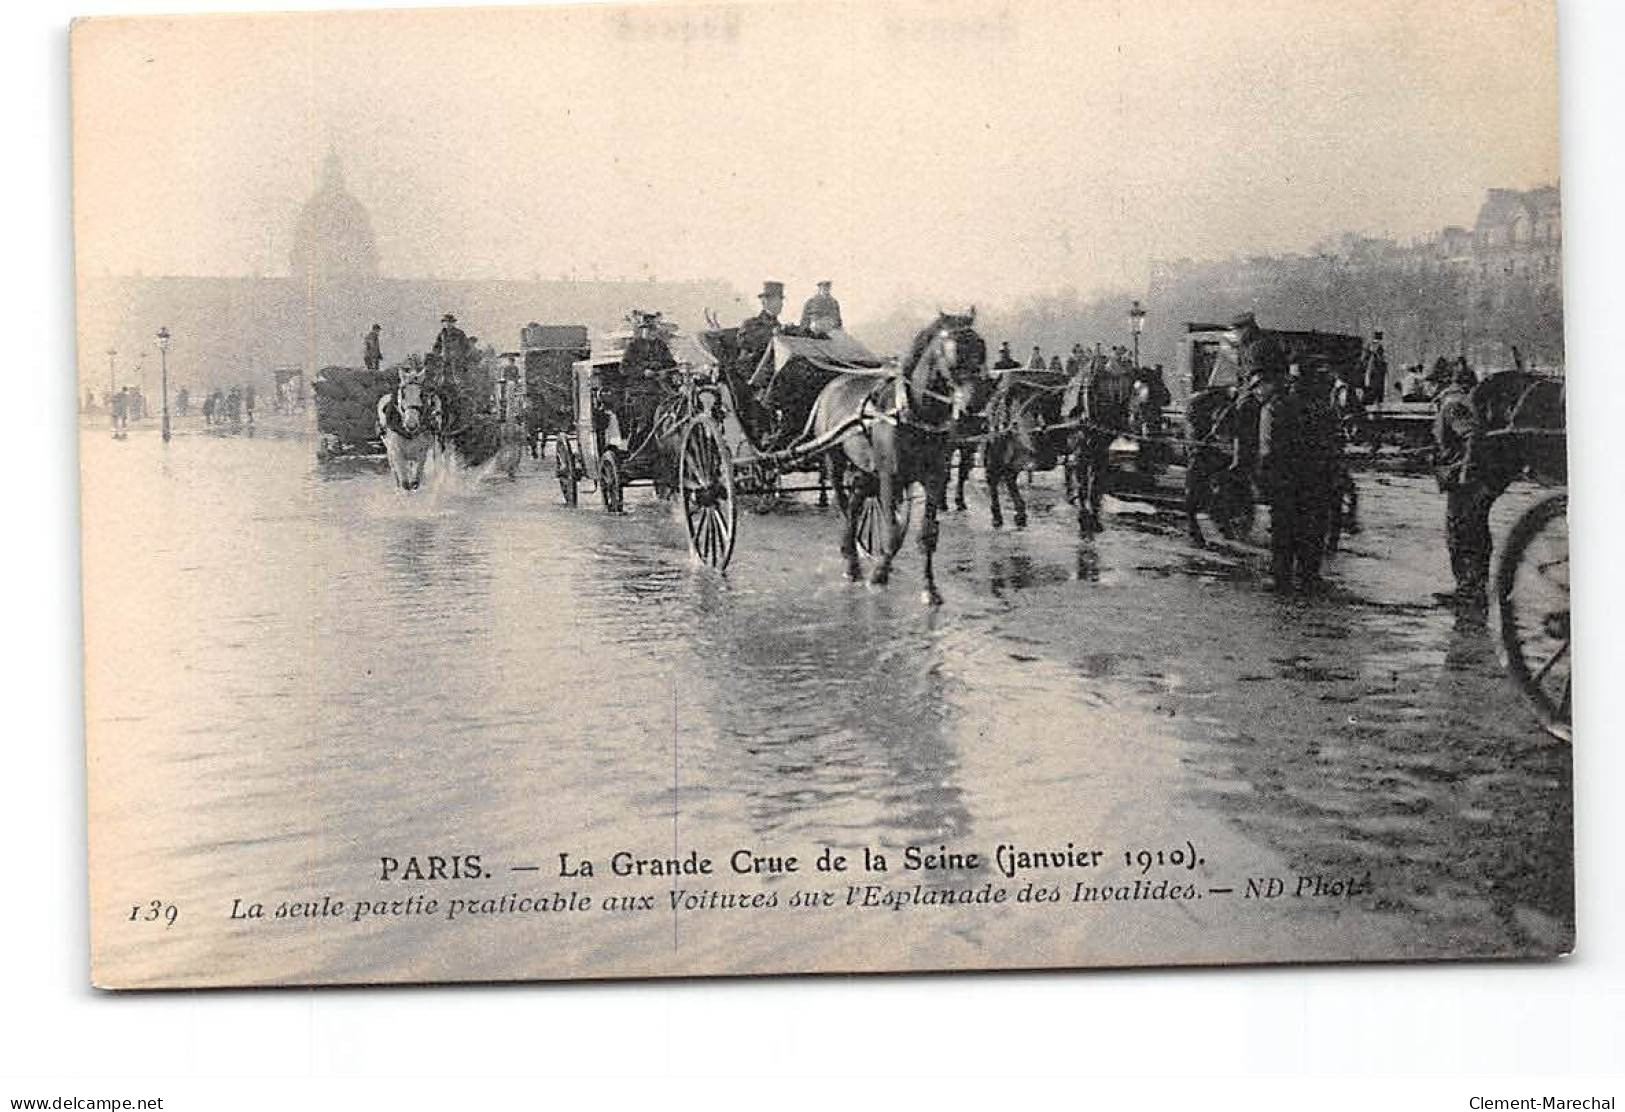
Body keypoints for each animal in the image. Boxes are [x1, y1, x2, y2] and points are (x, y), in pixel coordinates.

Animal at [806, 312, 981, 604]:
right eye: (954, 351)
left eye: (981, 346)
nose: (976, 403)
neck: (915, 413)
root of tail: (832, 385)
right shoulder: (890, 476)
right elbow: (892, 532)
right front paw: (878, 575)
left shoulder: (935, 477)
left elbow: (926, 534)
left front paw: (929, 588)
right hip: (834, 460)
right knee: (844, 505)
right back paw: (852, 563)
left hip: (866, 470)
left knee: (855, 503)